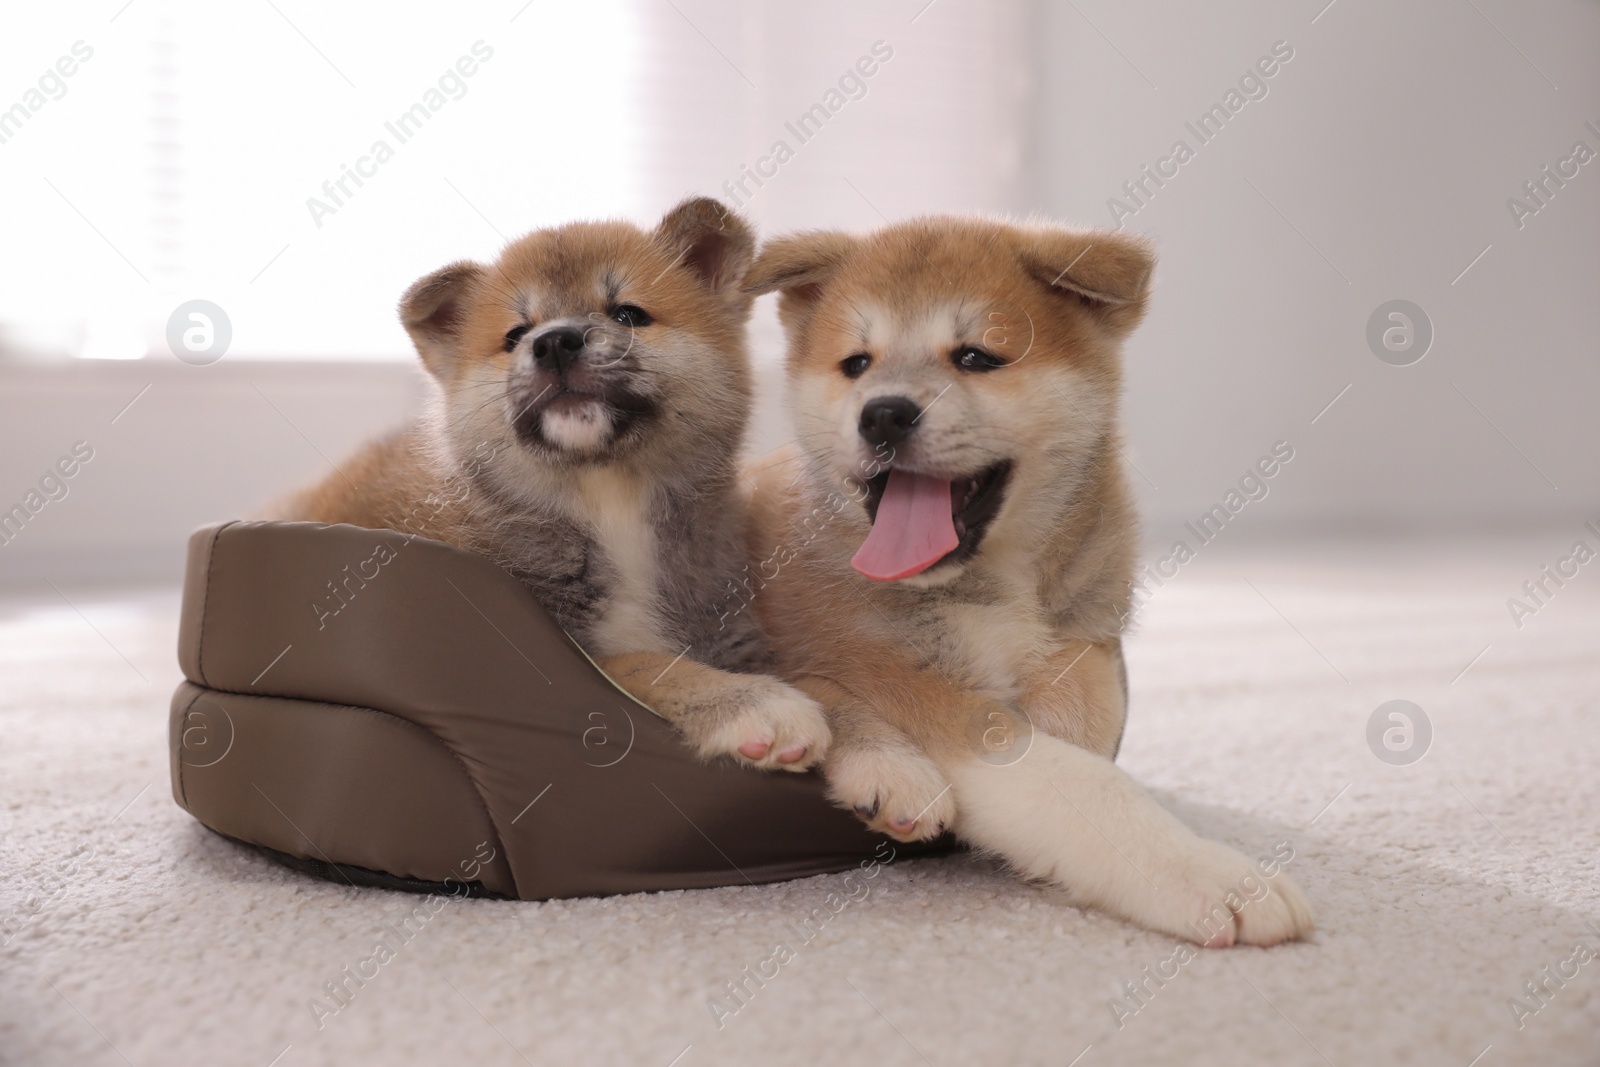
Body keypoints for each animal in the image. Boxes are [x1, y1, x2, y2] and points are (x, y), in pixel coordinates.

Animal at [273, 195, 825, 771]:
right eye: (516, 335)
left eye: (628, 314)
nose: (555, 341)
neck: (608, 497)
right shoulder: (570, 653)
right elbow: (646, 661)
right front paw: (754, 704)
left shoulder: (729, 627)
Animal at [742, 214, 1318, 940]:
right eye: (857, 364)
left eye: (976, 357)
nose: (883, 413)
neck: (989, 586)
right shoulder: (908, 680)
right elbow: (1082, 782)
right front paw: (1208, 872)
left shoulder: (1084, 636)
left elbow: (1087, 707)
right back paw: (889, 770)